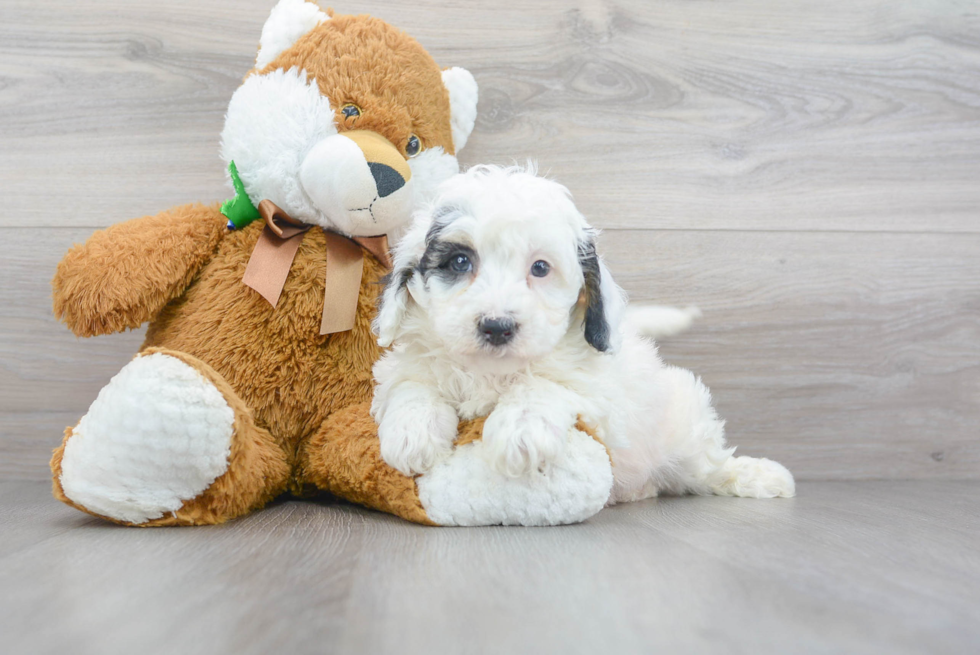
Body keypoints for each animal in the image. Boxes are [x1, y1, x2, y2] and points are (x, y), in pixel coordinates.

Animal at [372, 165, 792, 502]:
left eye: (540, 268)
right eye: (460, 262)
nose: (497, 326)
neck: (490, 372)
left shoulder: (600, 392)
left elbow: (548, 383)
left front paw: (520, 429)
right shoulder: (401, 365)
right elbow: (413, 382)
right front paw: (412, 433)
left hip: (680, 418)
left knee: (707, 464)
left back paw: (762, 476)